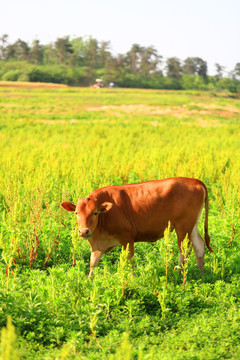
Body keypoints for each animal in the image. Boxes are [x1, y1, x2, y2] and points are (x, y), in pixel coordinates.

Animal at [61, 177, 213, 278]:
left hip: (183, 225)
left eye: (95, 212)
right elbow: (93, 263)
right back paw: (200, 273)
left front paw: (131, 280)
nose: (84, 231)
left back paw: (179, 274)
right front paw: (89, 281)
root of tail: (195, 181)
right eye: (76, 213)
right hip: (192, 225)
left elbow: (129, 261)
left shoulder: (127, 237)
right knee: (199, 245)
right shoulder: (98, 244)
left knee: (184, 249)